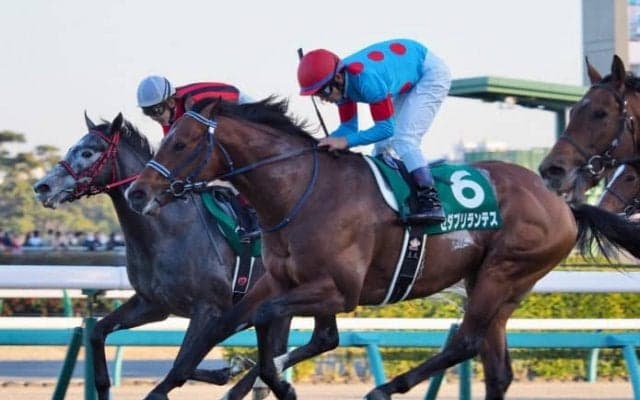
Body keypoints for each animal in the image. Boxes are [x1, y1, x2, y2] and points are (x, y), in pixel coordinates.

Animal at [32, 113, 281, 400]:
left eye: (87, 152)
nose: (42, 186)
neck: (168, 232)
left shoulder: (209, 308)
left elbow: (182, 362)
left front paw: (228, 369)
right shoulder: (153, 304)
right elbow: (97, 333)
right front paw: (227, 370)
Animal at [125, 97, 640, 400]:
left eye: (182, 143)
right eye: (166, 139)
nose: (137, 191)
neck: (300, 191)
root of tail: (561, 203)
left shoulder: (338, 291)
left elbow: (272, 327)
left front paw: (269, 381)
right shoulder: (282, 281)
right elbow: (242, 328)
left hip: (505, 271)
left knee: (466, 341)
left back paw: (387, 388)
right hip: (498, 283)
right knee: (496, 368)